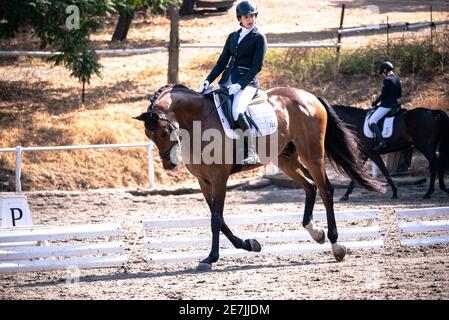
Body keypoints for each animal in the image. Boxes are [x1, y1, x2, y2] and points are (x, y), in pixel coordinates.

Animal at [133, 84, 382, 270]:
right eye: (149, 134)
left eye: (163, 131)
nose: (168, 164)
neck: (197, 121)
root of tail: (310, 97)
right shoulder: (204, 181)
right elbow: (219, 219)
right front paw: (250, 244)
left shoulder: (219, 177)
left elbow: (216, 219)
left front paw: (211, 257)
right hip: (285, 157)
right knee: (310, 186)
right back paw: (316, 232)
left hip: (311, 155)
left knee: (325, 189)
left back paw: (336, 245)